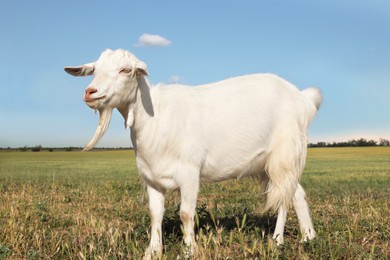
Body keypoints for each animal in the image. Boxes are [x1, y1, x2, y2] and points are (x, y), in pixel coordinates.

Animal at [64, 48, 320, 258]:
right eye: (94, 70)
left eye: (125, 70)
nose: (91, 92)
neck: (156, 117)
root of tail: (303, 99)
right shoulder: (151, 177)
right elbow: (155, 214)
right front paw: (152, 251)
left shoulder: (189, 174)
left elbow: (186, 214)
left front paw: (189, 250)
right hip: (268, 163)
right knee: (296, 193)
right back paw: (308, 237)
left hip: (284, 155)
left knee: (283, 197)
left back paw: (277, 241)